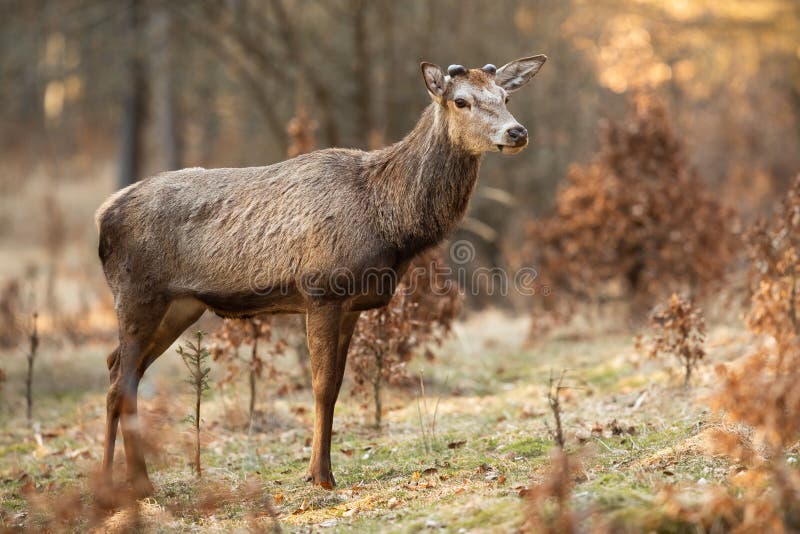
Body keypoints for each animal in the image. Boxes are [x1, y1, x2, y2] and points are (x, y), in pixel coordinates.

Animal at [95, 54, 546, 496]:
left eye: (505, 96)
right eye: (461, 101)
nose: (517, 131)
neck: (389, 221)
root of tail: (102, 217)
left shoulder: (353, 304)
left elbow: (337, 385)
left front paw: (321, 471)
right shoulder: (321, 290)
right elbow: (322, 385)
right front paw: (320, 476)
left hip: (180, 306)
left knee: (121, 367)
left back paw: (135, 480)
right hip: (137, 293)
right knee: (120, 380)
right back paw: (117, 483)